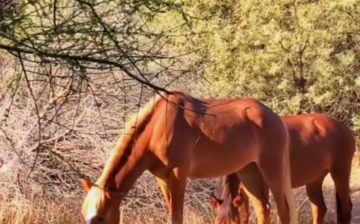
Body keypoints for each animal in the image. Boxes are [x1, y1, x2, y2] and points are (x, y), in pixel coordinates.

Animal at [80, 90, 300, 223]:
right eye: (84, 215)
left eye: (100, 217)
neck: (158, 126)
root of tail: (275, 118)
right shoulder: (161, 177)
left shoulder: (179, 174)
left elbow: (177, 216)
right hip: (248, 172)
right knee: (263, 210)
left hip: (272, 170)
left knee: (284, 211)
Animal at [210, 113, 356, 224]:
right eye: (216, 223)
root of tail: (342, 127)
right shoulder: (243, 190)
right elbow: (245, 215)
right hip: (314, 180)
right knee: (319, 209)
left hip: (340, 172)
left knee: (346, 209)